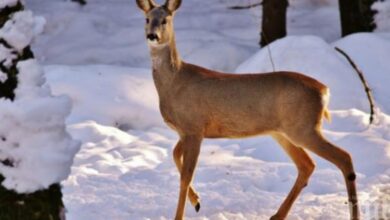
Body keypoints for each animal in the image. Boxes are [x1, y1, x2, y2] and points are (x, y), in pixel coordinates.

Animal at [135, 0, 360, 219]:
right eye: (147, 19)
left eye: (165, 20)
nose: (152, 35)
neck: (174, 82)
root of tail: (324, 90)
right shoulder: (186, 131)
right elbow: (174, 156)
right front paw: (197, 201)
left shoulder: (194, 128)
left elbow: (185, 176)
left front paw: (184, 212)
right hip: (283, 132)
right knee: (307, 165)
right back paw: (277, 215)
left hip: (304, 128)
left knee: (344, 157)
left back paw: (354, 214)